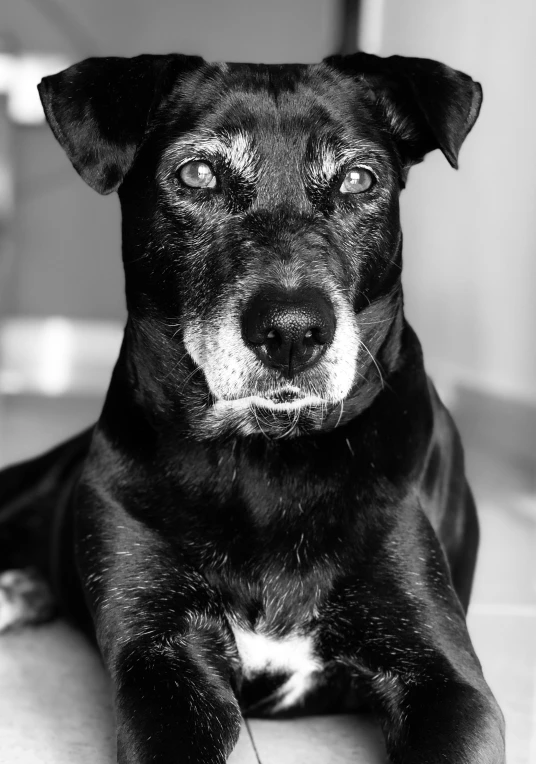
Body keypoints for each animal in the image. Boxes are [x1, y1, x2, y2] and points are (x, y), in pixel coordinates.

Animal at [0, 50, 506, 760]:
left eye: (359, 179)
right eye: (197, 173)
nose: (293, 333)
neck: (267, 458)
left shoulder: (447, 676)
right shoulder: (160, 659)